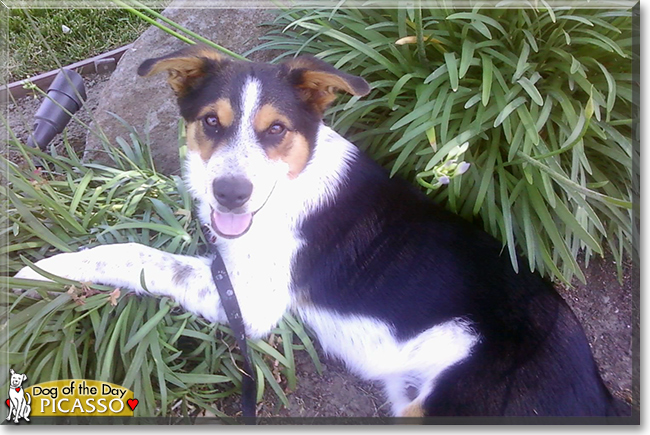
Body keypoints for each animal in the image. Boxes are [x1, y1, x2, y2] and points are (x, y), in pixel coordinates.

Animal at [17, 46, 628, 418]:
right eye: (211, 122)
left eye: (277, 131)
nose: (229, 194)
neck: (287, 187)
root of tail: (601, 397)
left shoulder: (252, 304)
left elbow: (139, 253)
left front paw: (45, 268)